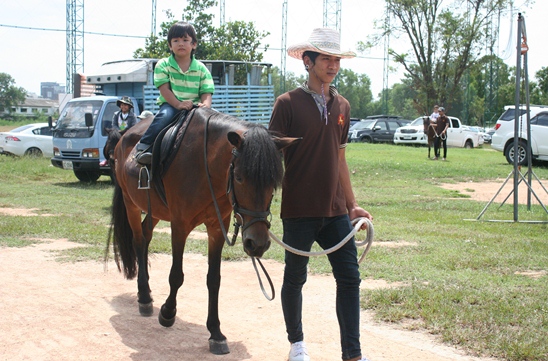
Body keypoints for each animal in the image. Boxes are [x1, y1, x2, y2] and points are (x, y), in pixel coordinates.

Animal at [105, 107, 298, 354]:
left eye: (273, 182)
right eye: (239, 177)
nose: (257, 243)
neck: (206, 166)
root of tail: (124, 137)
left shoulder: (217, 228)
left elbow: (214, 280)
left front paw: (215, 333)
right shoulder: (179, 225)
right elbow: (176, 275)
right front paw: (167, 313)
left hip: (155, 210)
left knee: (146, 235)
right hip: (131, 204)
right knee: (138, 241)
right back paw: (145, 298)